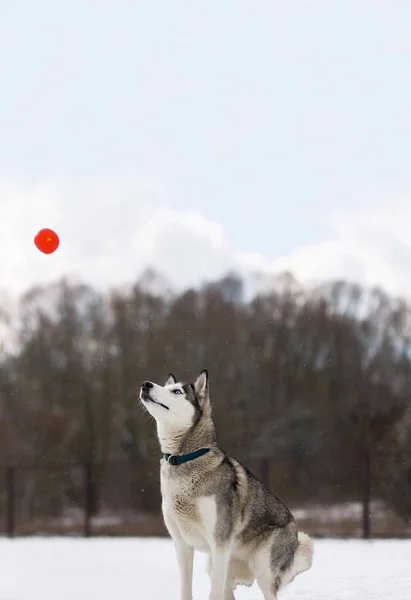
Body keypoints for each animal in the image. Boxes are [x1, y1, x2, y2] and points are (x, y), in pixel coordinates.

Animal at [140, 370, 314, 600]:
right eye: (166, 386)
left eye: (177, 391)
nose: (145, 384)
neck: (184, 460)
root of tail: (294, 532)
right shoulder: (182, 544)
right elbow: (186, 589)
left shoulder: (219, 543)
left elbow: (212, 593)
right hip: (218, 566)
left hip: (262, 571)